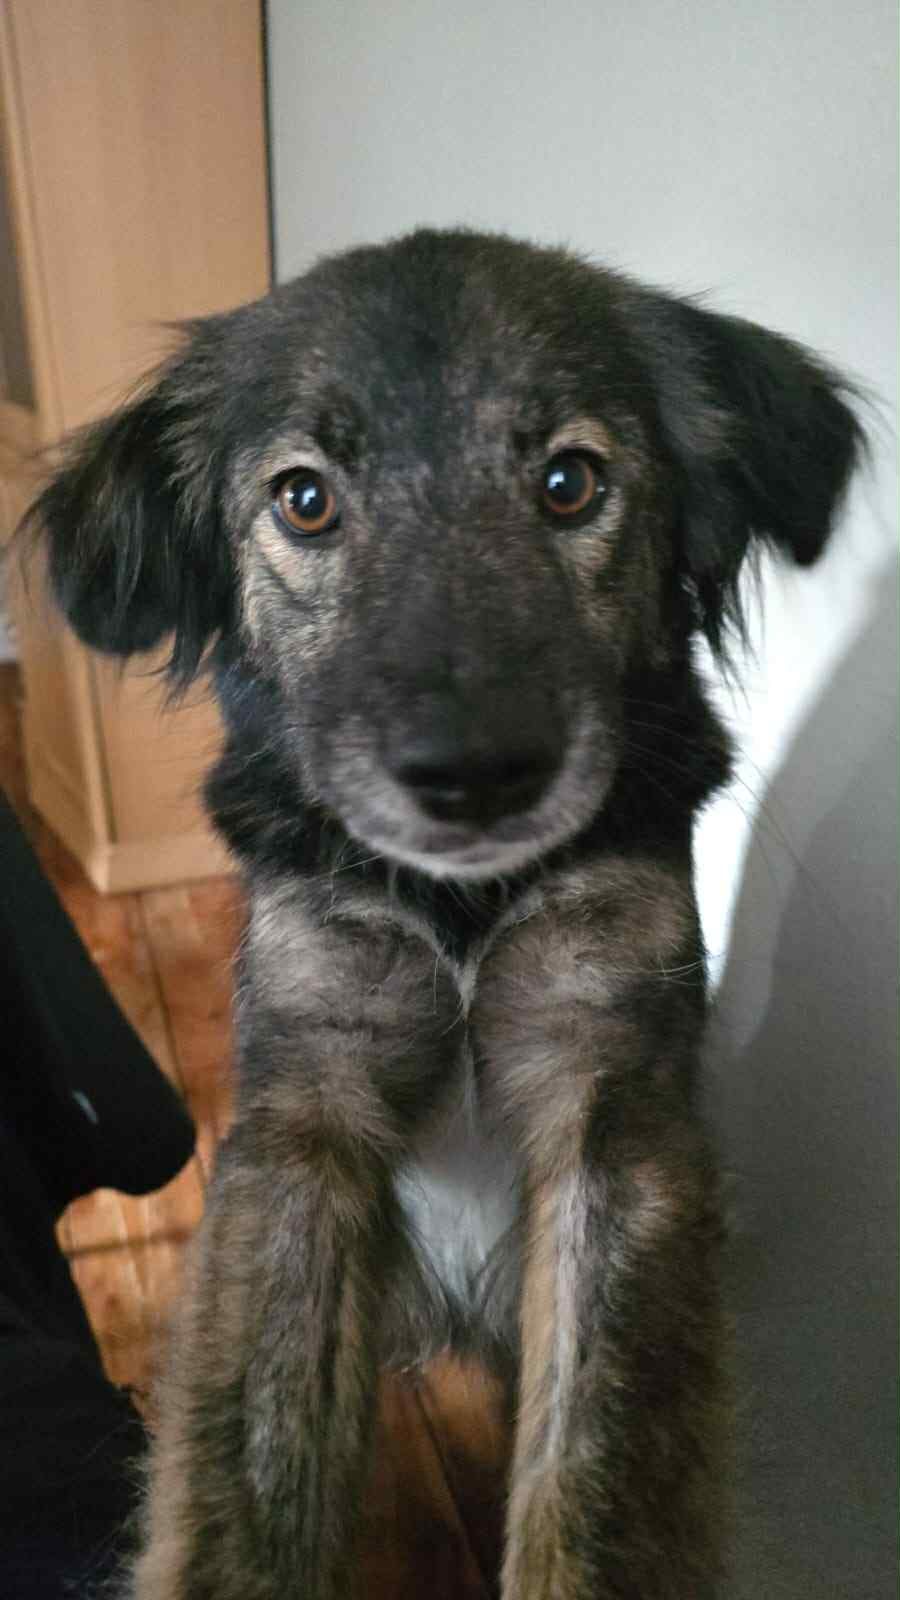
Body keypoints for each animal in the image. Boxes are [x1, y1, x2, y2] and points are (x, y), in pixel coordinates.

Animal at [27, 229, 862, 1598]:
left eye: (570, 482)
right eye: (305, 499)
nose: (474, 772)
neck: (465, 914)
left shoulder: (612, 1111)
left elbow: (598, 1479)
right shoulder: (305, 1114)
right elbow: (245, 1472)